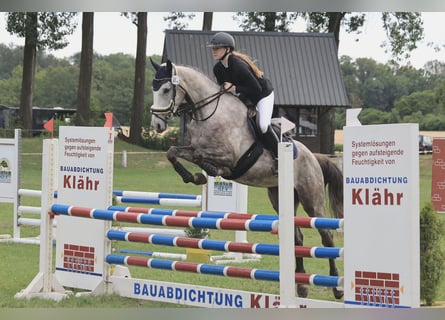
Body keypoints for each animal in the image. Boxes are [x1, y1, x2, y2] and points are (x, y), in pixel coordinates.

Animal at [149, 60, 344, 300]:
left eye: (167, 89)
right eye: (154, 89)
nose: (157, 125)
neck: (208, 112)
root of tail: (314, 157)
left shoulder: (230, 156)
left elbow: (203, 158)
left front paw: (205, 172)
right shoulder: (193, 148)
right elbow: (173, 152)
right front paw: (193, 176)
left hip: (311, 198)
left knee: (327, 237)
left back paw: (337, 288)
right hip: (280, 197)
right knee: (297, 238)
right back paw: (301, 286)